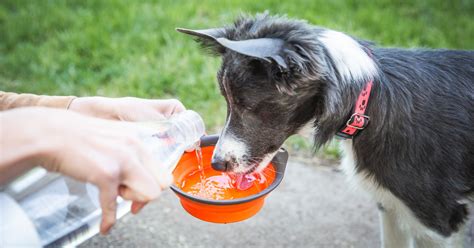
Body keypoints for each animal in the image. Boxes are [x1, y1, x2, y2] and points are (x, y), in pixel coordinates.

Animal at [178, 14, 474, 248]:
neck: (368, 104)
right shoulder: (390, 206)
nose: (216, 164)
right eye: (228, 102)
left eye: (246, 105)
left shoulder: (436, 223)